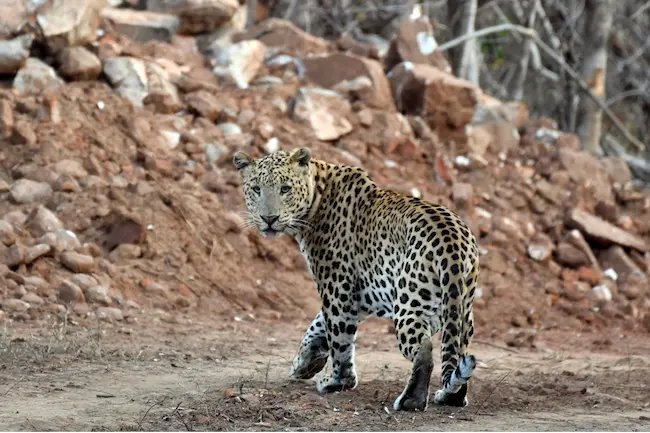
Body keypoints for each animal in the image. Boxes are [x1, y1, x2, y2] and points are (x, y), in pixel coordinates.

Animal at [233, 147, 480, 411]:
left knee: (423, 348)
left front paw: (336, 381)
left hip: (410, 302)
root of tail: (452, 245)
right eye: (256, 189)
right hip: (462, 310)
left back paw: (411, 400)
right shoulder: (360, 297)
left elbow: (338, 336)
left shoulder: (336, 287)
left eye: (285, 189)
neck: (317, 195)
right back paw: (450, 396)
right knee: (456, 352)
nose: (269, 218)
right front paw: (304, 363)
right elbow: (317, 326)